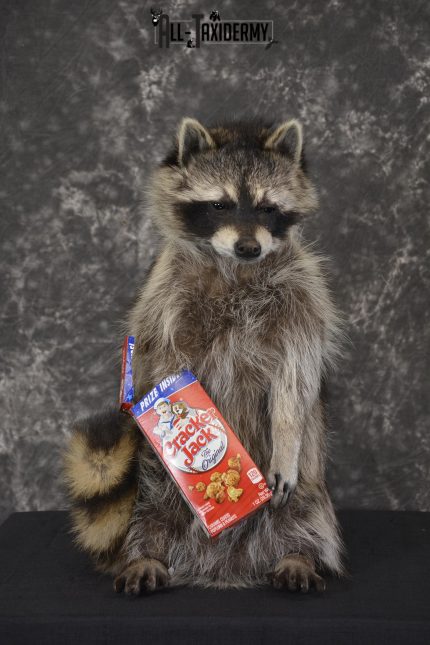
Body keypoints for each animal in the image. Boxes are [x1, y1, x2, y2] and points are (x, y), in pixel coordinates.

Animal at [64, 117, 345, 594]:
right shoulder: (164, 296)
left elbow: (295, 381)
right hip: (153, 492)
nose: (249, 247)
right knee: (147, 511)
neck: (235, 269)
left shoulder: (303, 297)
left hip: (309, 486)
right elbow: (164, 365)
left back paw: (299, 554)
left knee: (308, 511)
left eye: (267, 208)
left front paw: (286, 433)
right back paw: (146, 554)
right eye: (219, 204)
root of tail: (225, 569)